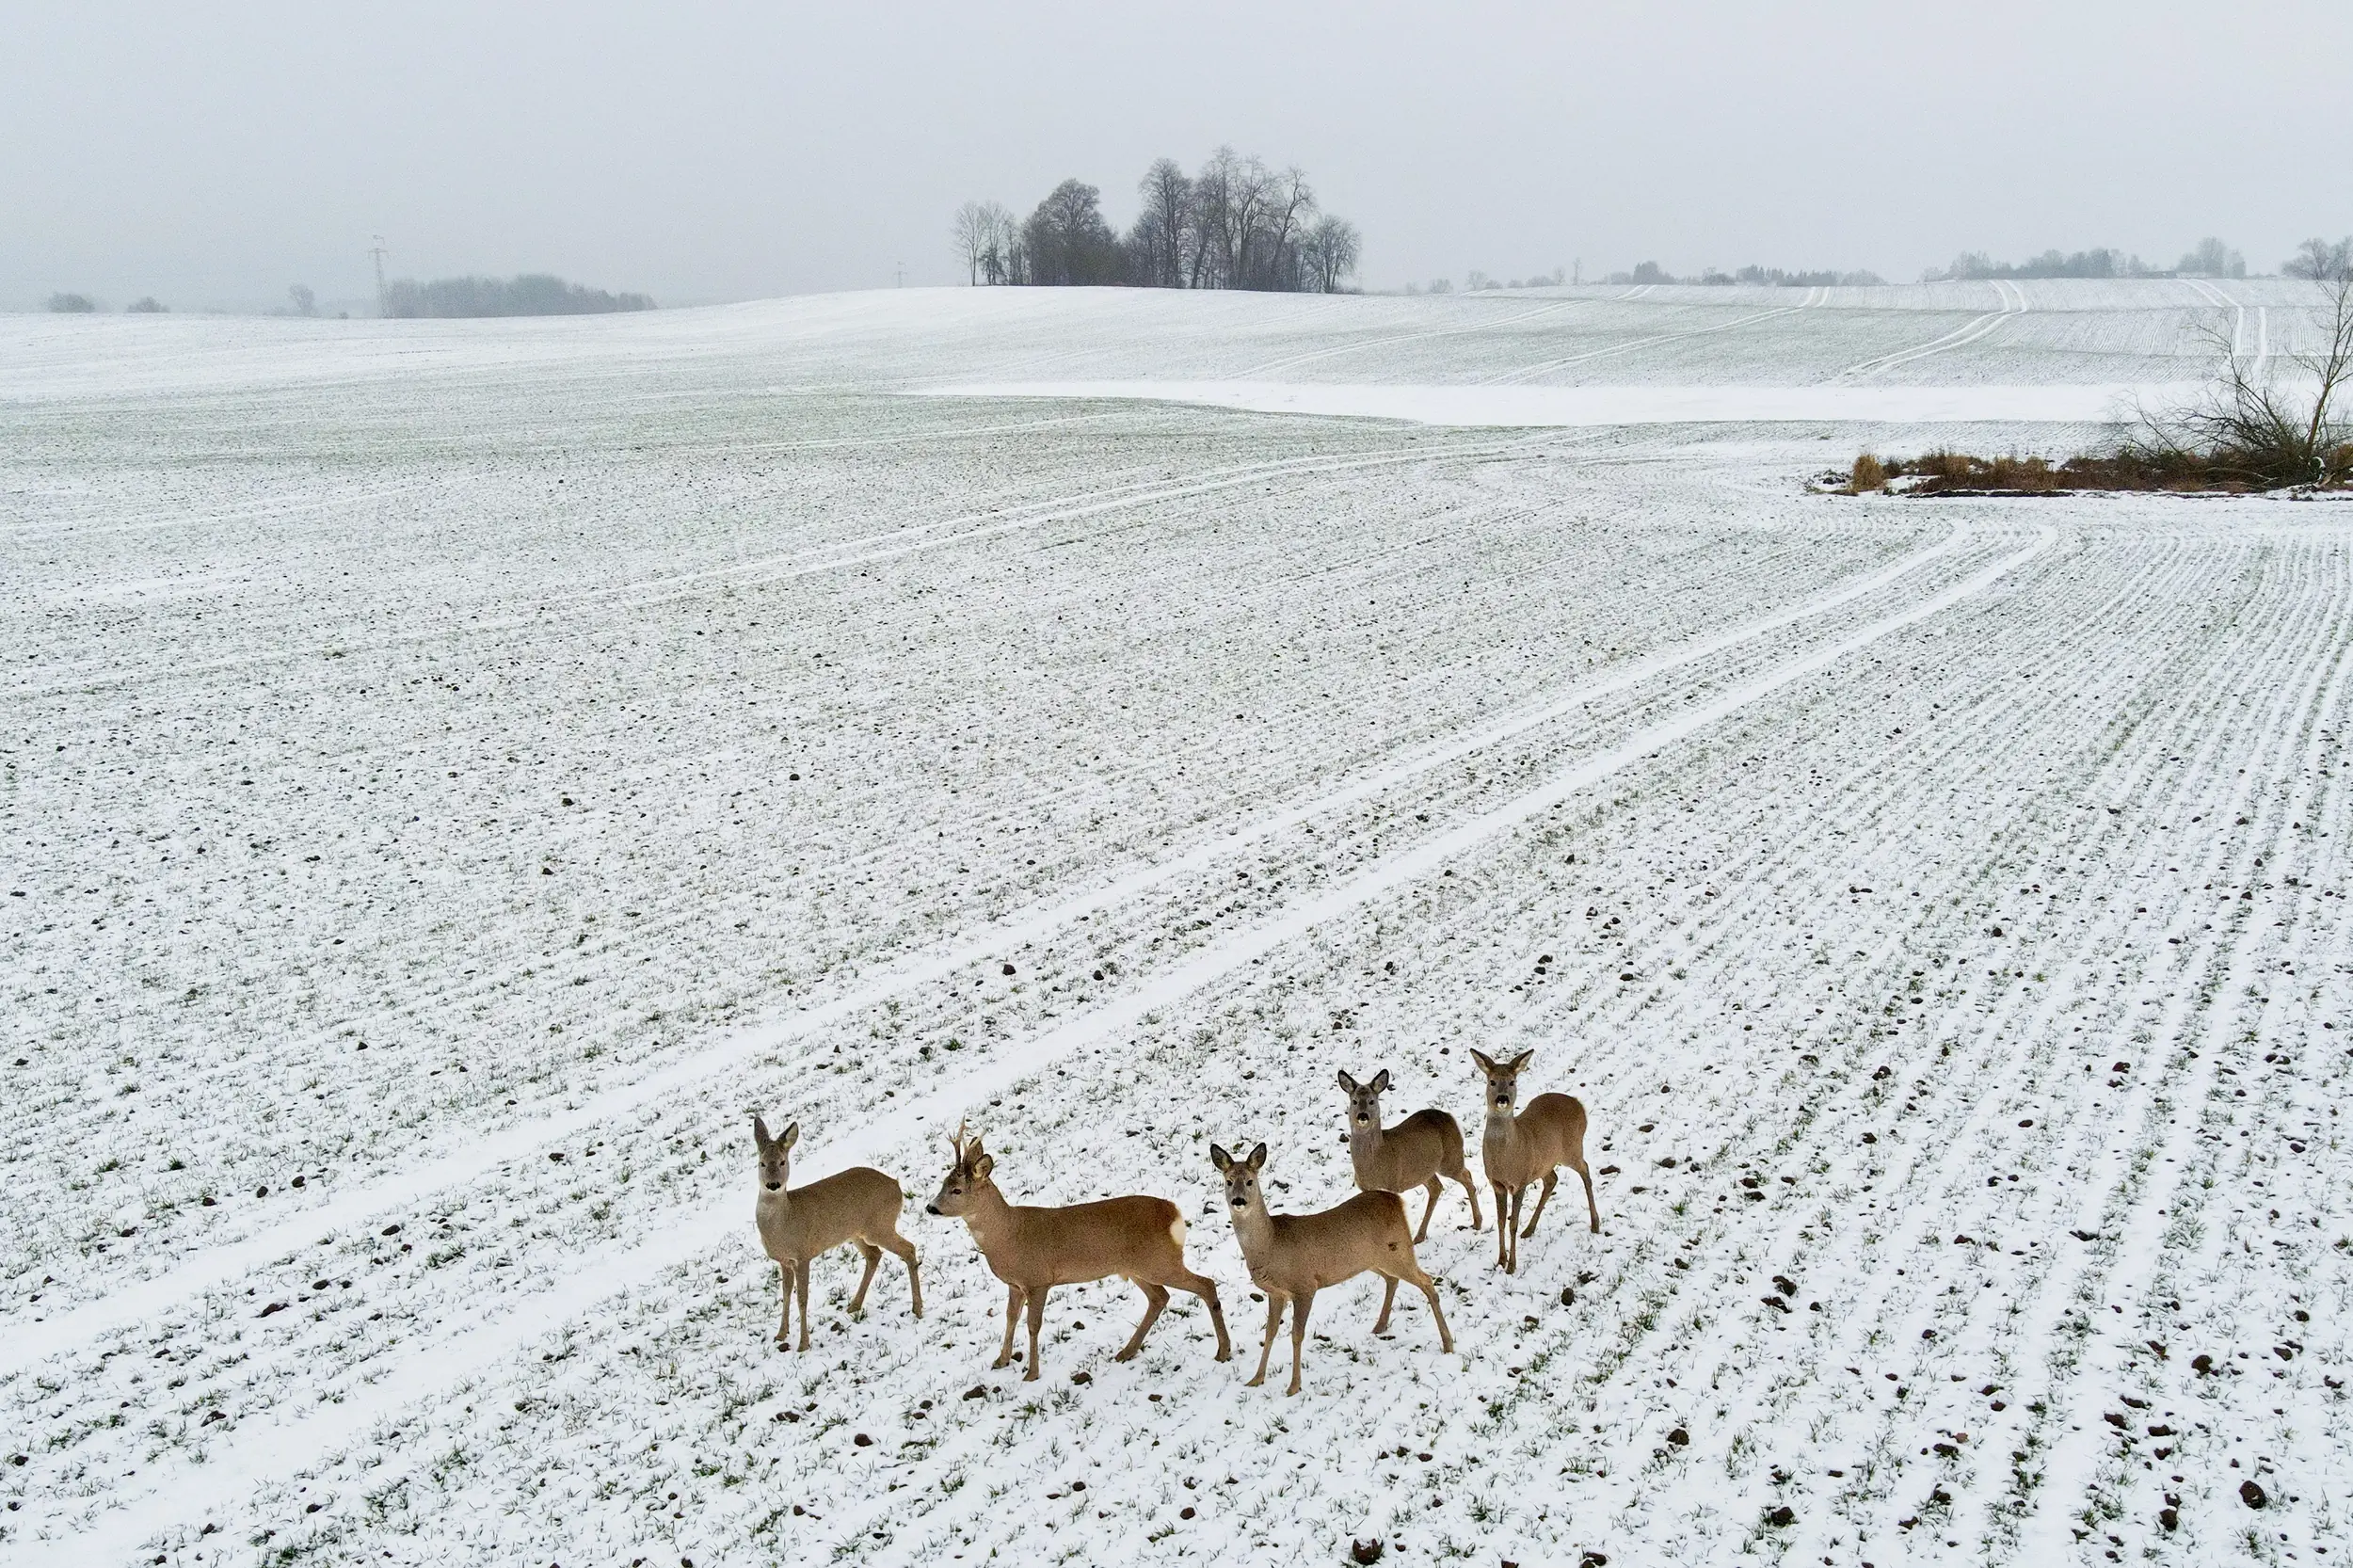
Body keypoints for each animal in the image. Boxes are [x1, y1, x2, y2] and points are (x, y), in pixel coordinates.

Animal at [750, 1114, 922, 1351]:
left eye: (783, 1162)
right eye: (762, 1163)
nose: (773, 1184)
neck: (785, 1223)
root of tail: (897, 1186)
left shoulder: (803, 1255)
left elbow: (802, 1298)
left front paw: (803, 1344)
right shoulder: (784, 1260)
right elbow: (785, 1294)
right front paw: (780, 1335)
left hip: (880, 1225)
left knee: (908, 1248)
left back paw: (917, 1308)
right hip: (857, 1233)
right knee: (874, 1255)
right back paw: (854, 1305)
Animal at [926, 1124, 1231, 1381]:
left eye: (956, 1190)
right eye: (942, 1184)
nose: (931, 1208)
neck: (1008, 1236)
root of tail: (1174, 1213)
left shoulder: (1038, 1280)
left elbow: (1033, 1324)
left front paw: (1031, 1373)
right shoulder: (1015, 1284)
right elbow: (1010, 1317)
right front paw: (1000, 1361)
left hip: (1160, 1261)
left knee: (1206, 1284)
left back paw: (1223, 1351)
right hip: (1138, 1267)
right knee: (1159, 1298)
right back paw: (1126, 1352)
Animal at [1210, 1141, 1453, 1395]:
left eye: (1250, 1181)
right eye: (1228, 1181)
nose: (1238, 1201)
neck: (1272, 1244)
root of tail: (1396, 1200)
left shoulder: (1305, 1285)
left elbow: (1296, 1335)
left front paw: (1294, 1386)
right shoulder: (1276, 1293)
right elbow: (1269, 1333)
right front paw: (1256, 1379)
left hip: (1398, 1250)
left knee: (1427, 1281)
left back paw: (1448, 1343)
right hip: (1370, 1260)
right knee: (1392, 1280)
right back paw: (1380, 1326)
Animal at [1336, 1067, 1484, 1241]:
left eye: (1372, 1101)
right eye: (1354, 1101)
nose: (1363, 1116)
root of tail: (1449, 1116)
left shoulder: (1391, 1184)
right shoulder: (1365, 1189)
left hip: (1451, 1158)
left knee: (1467, 1176)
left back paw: (1477, 1223)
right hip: (1424, 1170)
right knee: (1437, 1187)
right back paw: (1420, 1236)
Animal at [1468, 1047, 1600, 1274]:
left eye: (1512, 1081)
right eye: (1492, 1081)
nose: (1502, 1098)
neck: (1505, 1159)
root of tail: (1579, 1104)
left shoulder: (1520, 1181)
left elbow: (1512, 1223)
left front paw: (1512, 1266)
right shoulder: (1497, 1183)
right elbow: (1501, 1221)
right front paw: (1500, 1260)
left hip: (1572, 1148)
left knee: (1586, 1169)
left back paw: (1595, 1223)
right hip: (1545, 1162)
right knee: (1552, 1179)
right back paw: (1529, 1229)